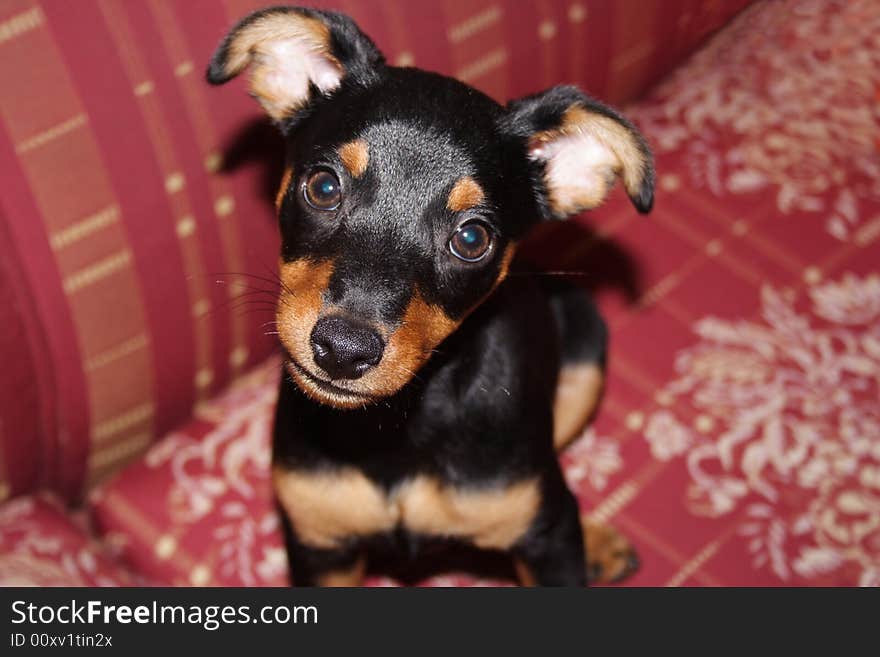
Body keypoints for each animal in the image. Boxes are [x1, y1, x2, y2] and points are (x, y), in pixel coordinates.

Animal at [208, 6, 652, 584]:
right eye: (324, 187)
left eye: (472, 238)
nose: (342, 351)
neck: (398, 429)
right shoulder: (321, 546)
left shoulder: (547, 540)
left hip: (584, 349)